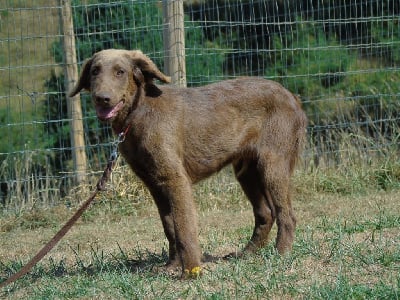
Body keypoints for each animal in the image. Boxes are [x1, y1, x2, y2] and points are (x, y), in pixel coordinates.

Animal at [69, 48, 306, 276]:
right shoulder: (155, 184)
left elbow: (184, 227)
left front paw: (190, 271)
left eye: (120, 72)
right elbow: (170, 228)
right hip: (247, 172)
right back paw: (247, 253)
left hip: (272, 165)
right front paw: (171, 266)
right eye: (94, 71)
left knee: (287, 215)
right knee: (265, 213)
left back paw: (281, 253)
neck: (139, 113)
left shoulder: (176, 179)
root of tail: (293, 96)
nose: (102, 98)